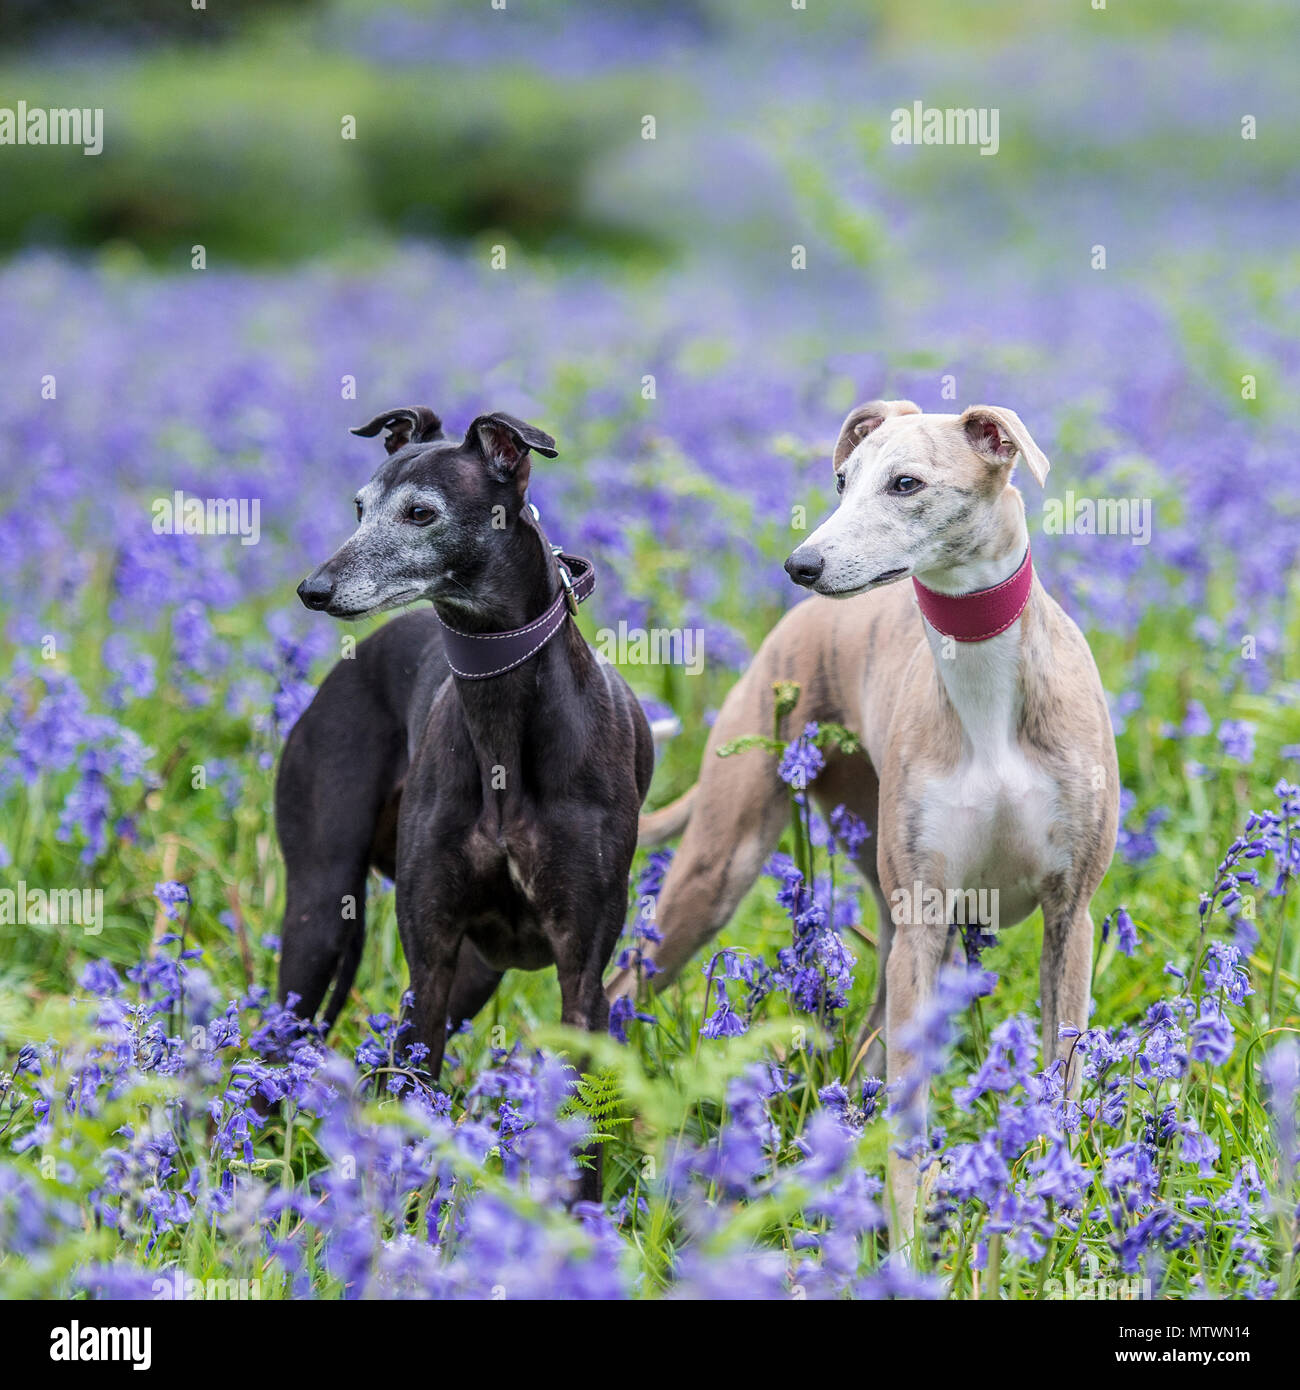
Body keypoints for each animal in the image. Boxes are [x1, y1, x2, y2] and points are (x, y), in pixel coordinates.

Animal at [278, 405, 656, 1189]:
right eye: (358, 508)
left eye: (421, 512)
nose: (313, 590)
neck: (503, 722)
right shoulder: (430, 957)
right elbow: (412, 1104)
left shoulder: (582, 969)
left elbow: (585, 1124)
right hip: (321, 914)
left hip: (471, 976)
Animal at [611, 397, 1117, 1234]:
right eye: (843, 480)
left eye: (905, 483)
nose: (801, 566)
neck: (985, 687)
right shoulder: (924, 918)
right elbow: (911, 1117)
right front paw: (908, 1238)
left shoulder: (1067, 913)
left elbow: (1064, 1074)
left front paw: (1059, 1203)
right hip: (723, 868)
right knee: (620, 992)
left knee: (864, 1057)